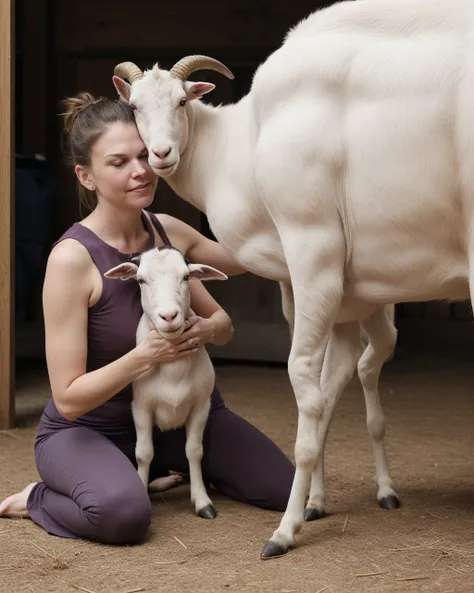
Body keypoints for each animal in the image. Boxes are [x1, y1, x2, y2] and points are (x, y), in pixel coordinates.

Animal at [105, 245, 228, 520]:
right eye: (140, 280)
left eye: (186, 277)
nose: (169, 316)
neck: (173, 373)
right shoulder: (140, 407)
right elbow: (144, 453)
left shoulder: (200, 405)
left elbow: (194, 451)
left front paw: (202, 500)